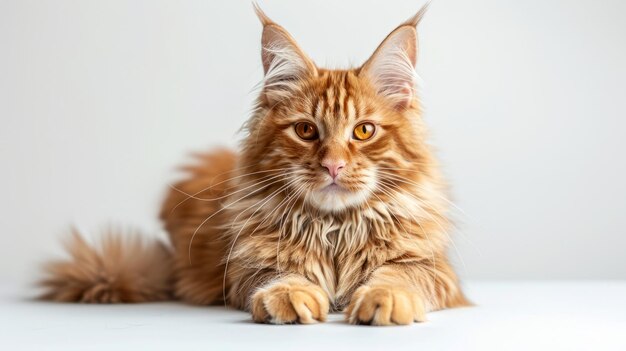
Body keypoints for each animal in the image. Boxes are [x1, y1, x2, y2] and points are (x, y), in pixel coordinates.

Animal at [40, 3, 468, 328]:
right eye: (305, 130)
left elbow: (400, 275)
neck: (335, 229)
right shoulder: (246, 270)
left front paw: (385, 297)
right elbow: (279, 274)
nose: (333, 166)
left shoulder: (435, 270)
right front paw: (291, 295)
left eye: (363, 131)